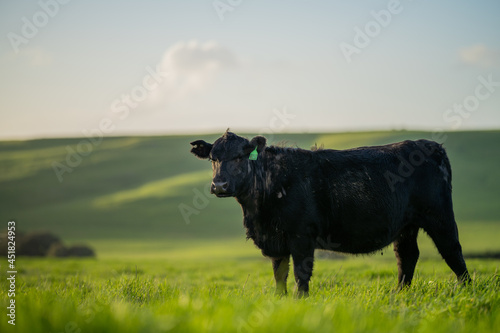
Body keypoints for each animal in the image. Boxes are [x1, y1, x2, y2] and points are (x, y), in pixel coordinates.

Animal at [189, 130, 470, 296]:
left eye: (239, 157)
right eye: (213, 158)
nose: (219, 185)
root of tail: (430, 144)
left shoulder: (301, 236)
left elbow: (301, 274)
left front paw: (299, 301)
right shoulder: (276, 240)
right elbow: (279, 274)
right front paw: (279, 301)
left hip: (439, 217)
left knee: (452, 251)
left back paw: (466, 291)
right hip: (406, 226)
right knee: (407, 256)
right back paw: (399, 294)